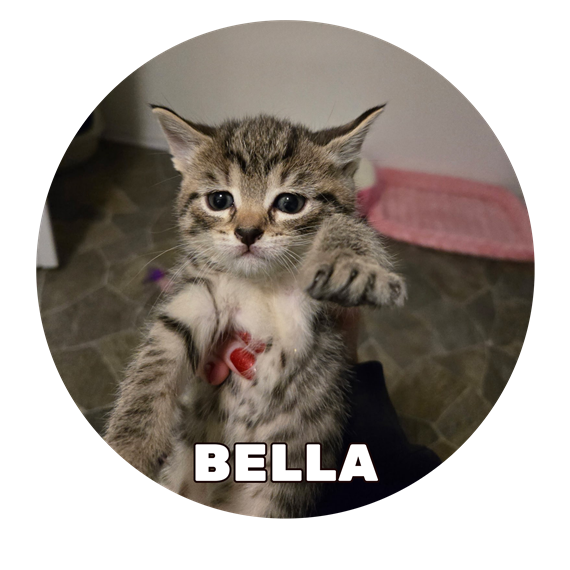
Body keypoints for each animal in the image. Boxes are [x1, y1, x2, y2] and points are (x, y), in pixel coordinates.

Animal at [104, 104, 406, 518]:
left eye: (290, 203)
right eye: (219, 200)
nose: (247, 233)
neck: (260, 284)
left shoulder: (315, 312)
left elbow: (348, 227)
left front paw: (354, 265)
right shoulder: (198, 296)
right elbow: (153, 366)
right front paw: (129, 445)